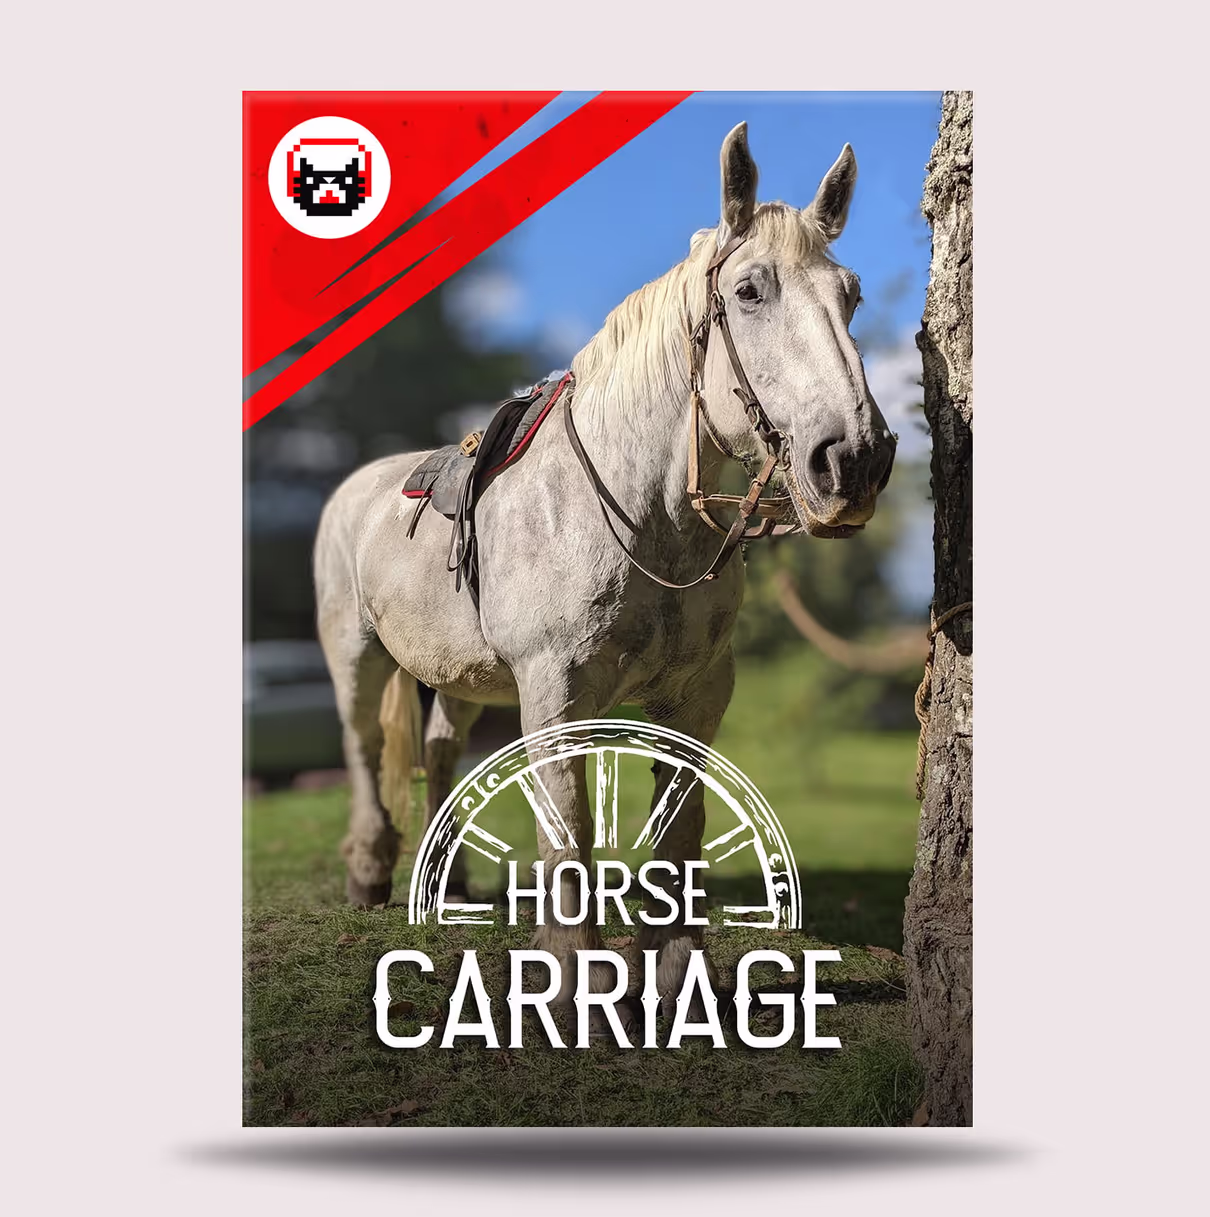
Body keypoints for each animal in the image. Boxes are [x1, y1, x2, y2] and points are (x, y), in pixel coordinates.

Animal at [313, 122, 897, 1015]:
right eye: (751, 290)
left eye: (852, 296)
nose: (855, 460)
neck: (641, 518)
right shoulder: (555, 691)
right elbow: (571, 824)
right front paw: (571, 976)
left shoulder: (698, 693)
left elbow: (681, 824)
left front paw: (675, 970)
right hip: (356, 657)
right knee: (362, 749)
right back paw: (371, 873)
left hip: (459, 677)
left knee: (440, 753)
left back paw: (450, 883)